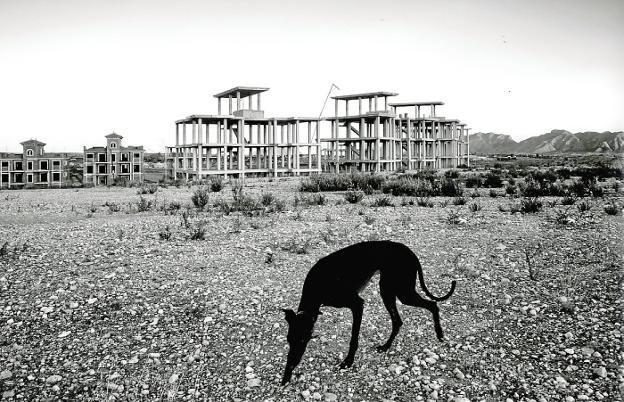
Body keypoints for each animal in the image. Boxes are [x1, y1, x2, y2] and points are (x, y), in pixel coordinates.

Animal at [282, 240, 454, 384]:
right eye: (289, 340)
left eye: (303, 340)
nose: (287, 373)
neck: (318, 285)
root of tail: (409, 251)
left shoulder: (357, 305)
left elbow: (354, 338)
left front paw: (348, 362)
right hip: (388, 291)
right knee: (398, 321)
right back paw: (386, 346)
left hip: (402, 292)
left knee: (432, 305)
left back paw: (440, 334)